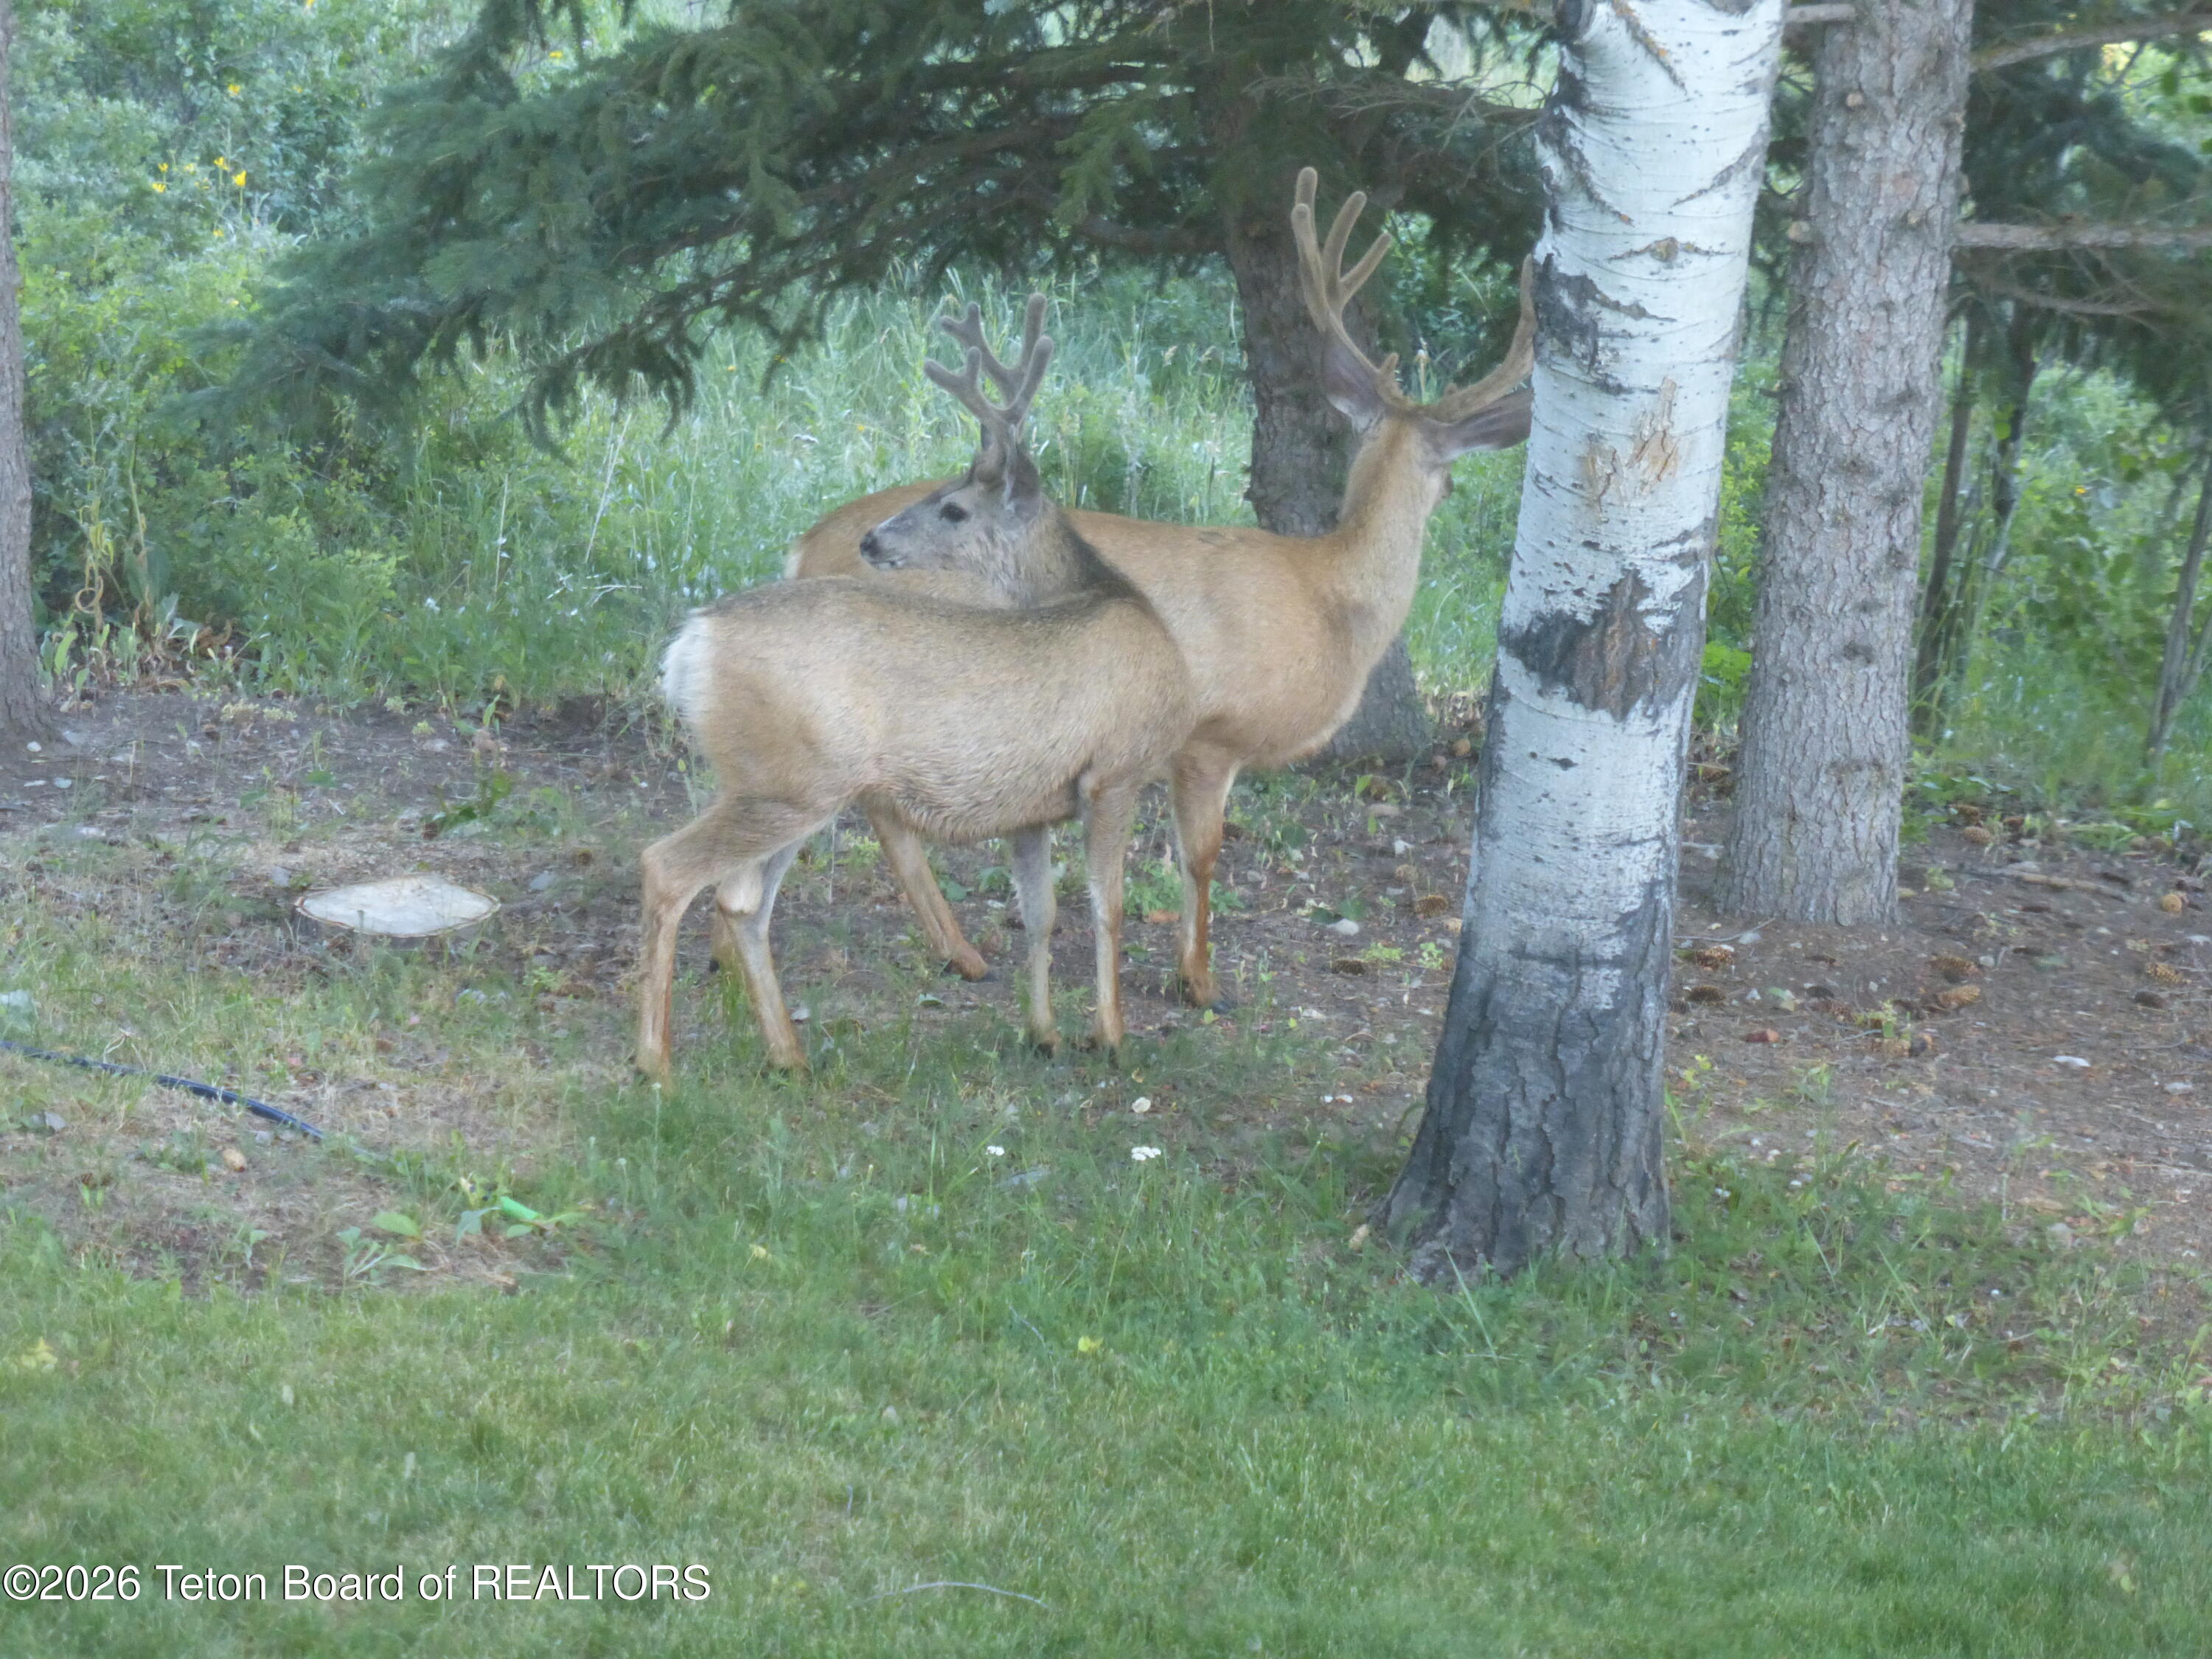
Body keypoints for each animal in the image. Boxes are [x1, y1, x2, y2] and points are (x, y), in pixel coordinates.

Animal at [637, 319, 1195, 1079]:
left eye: (953, 506)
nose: (872, 538)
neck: (1117, 600)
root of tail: (693, 643)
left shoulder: (1034, 805)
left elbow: (1043, 913)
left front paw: (1044, 1032)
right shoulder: (1116, 770)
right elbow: (1107, 908)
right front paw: (1109, 1036)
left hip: (794, 785)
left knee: (742, 900)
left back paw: (789, 1057)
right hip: (786, 781)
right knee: (668, 867)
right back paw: (656, 1064)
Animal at [787, 168, 1535, 1011]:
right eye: (1451, 473)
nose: (1454, 491)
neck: (1330, 595)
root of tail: (804, 549)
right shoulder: (1212, 733)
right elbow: (1200, 855)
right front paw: (1199, 979)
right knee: (879, 807)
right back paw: (963, 952)